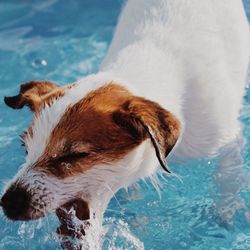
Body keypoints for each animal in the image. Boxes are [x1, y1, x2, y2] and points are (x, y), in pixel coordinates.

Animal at [0, 0, 249, 248]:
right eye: (26, 149)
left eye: (73, 155)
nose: (8, 202)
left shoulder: (224, 140)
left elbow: (228, 174)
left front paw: (226, 209)